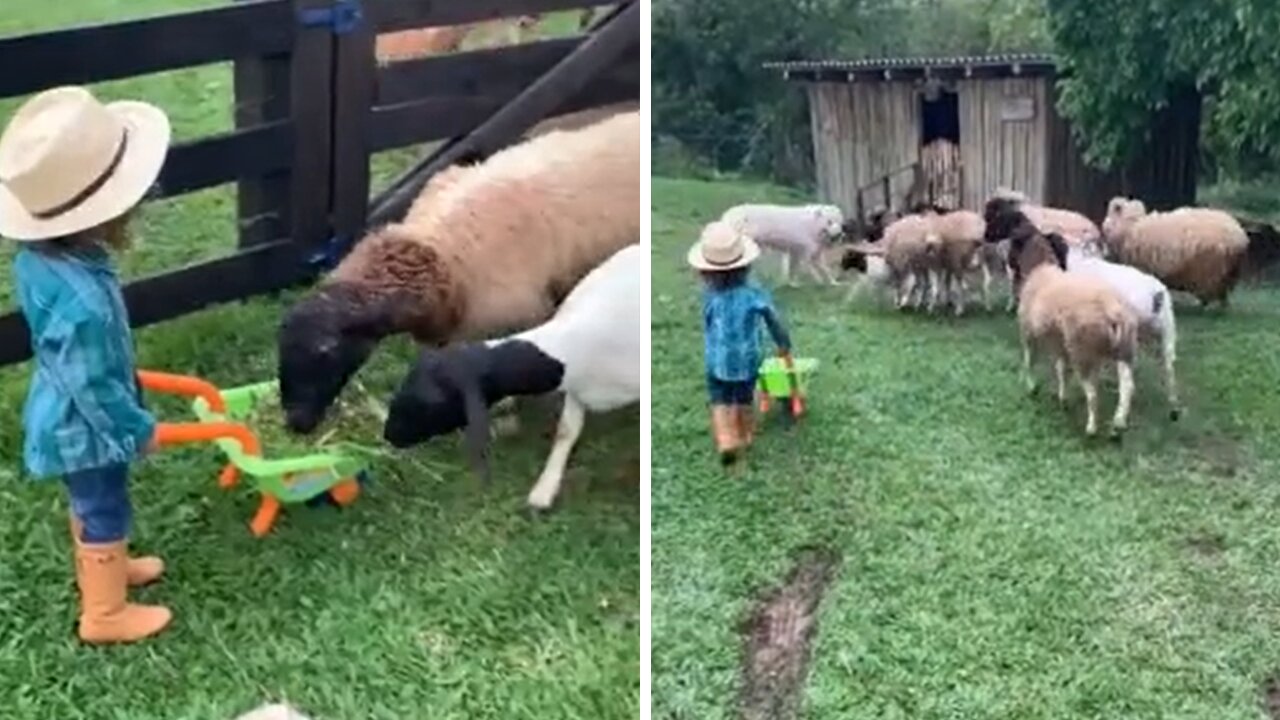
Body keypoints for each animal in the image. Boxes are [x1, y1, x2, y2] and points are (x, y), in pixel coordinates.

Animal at [1059, 244, 1177, 417]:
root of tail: (1155, 295)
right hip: (1165, 331)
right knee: (1169, 368)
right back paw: (1174, 407)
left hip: (1127, 336)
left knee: (1128, 383)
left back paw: (1119, 419)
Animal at [1095, 197, 1244, 307]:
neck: (1130, 226)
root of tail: (1238, 235)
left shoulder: (1143, 267)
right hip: (1227, 272)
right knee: (1223, 293)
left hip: (1211, 270)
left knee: (1212, 291)